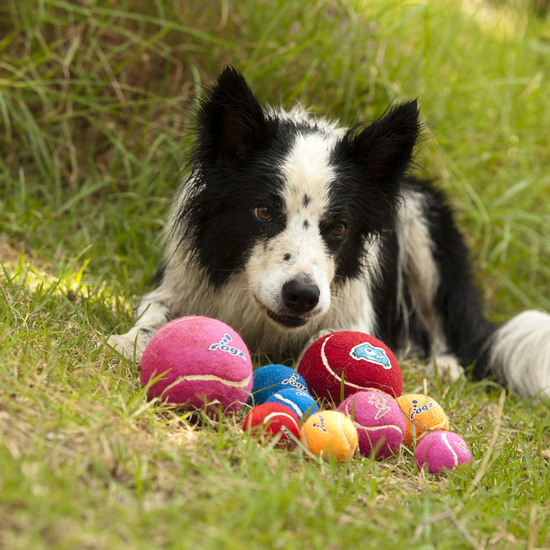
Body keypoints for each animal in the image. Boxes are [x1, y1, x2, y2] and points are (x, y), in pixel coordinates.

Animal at [108, 67, 550, 398]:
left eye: (338, 227)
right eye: (264, 211)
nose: (302, 296)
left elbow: (329, 340)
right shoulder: (178, 284)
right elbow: (155, 314)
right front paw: (130, 341)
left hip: (421, 218)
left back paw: (443, 365)